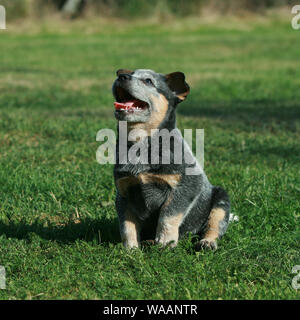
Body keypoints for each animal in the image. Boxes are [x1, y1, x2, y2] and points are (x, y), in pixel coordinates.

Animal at [111, 69, 231, 250]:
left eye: (148, 81)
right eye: (127, 73)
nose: (121, 77)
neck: (142, 144)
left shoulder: (188, 185)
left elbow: (168, 215)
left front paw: (166, 242)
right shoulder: (124, 193)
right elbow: (126, 225)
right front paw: (130, 249)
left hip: (221, 200)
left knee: (214, 226)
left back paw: (207, 242)